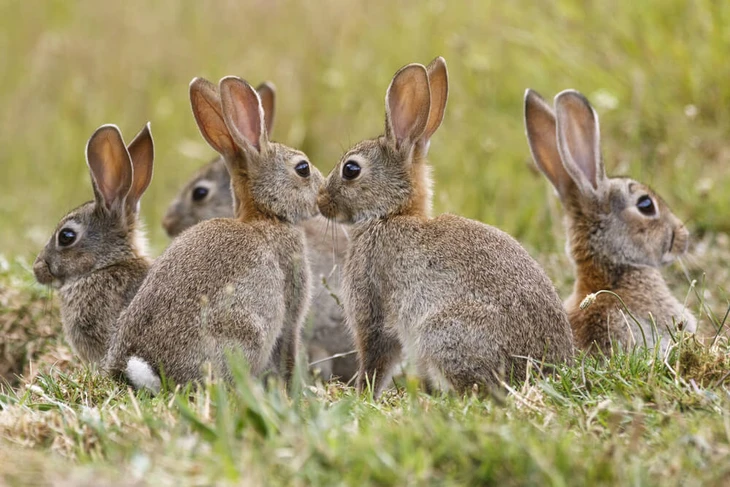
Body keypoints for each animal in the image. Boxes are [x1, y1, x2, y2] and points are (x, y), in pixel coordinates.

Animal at [103, 75, 323, 393]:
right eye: (302, 169)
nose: (323, 192)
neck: (266, 215)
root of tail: (145, 368)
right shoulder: (290, 312)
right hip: (246, 331)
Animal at [317, 57, 574, 398]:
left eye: (351, 169)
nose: (320, 201)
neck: (390, 214)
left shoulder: (372, 306)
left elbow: (376, 358)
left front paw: (362, 394)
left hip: (441, 332)